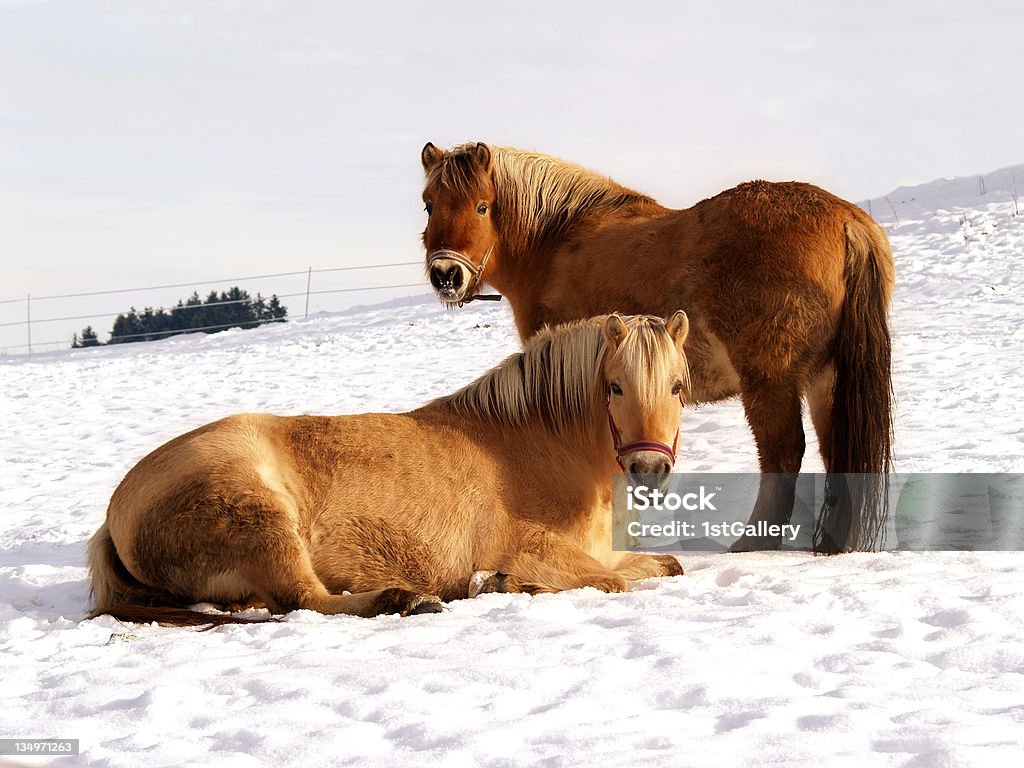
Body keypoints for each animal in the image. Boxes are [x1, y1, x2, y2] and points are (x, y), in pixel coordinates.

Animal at [90, 311, 688, 626]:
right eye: (615, 386)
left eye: (679, 385)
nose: (648, 467)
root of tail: (115, 512)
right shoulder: (533, 547)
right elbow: (610, 582)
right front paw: (497, 583)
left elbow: (664, 566)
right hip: (263, 521)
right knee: (307, 601)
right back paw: (406, 599)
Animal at [419, 143, 892, 552]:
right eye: (429, 204)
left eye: (482, 206)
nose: (446, 275)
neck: (555, 243)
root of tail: (849, 222)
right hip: (826, 381)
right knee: (836, 452)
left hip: (770, 381)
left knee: (783, 453)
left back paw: (752, 542)